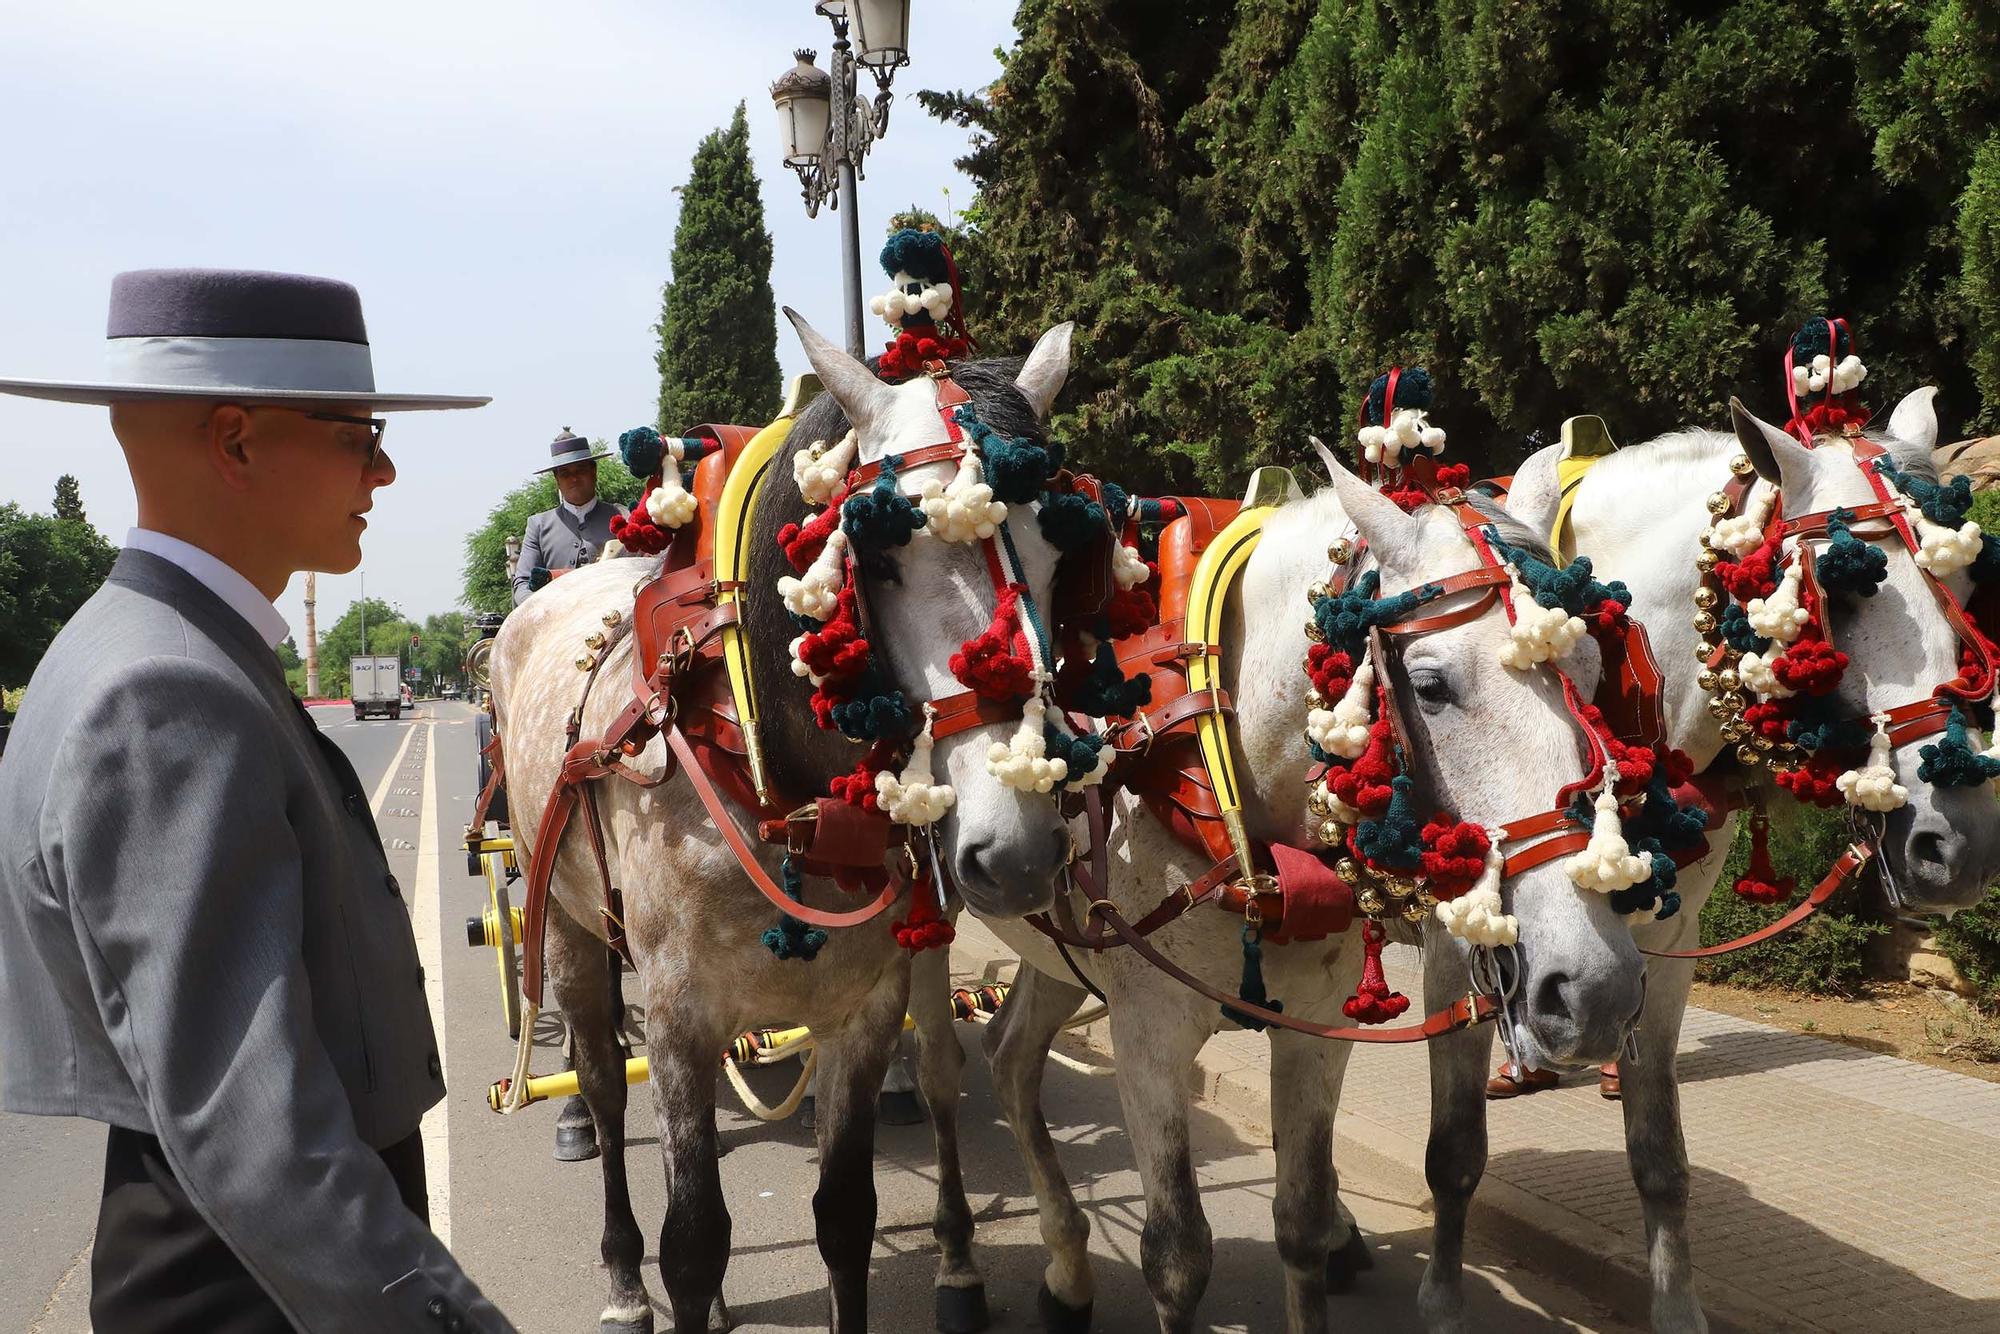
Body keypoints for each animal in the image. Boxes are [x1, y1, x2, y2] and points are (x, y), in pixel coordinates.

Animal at [492, 316, 1088, 1334]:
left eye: (1055, 553)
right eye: (877, 557)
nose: (1015, 852)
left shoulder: (864, 1010)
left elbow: (845, 1216)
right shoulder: (680, 1017)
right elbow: (693, 1242)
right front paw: (669, 1279)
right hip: (567, 921)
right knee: (604, 1087)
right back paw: (621, 1273)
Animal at [916, 454, 1648, 1328]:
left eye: (1593, 672)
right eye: (1432, 686)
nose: (1597, 989)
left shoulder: (1318, 1025)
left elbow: (1299, 1218)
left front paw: (1325, 1241)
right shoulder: (1147, 1030)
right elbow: (1177, 1257)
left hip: (1059, 946)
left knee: (1010, 1055)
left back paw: (1066, 1271)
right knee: (938, 1071)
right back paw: (958, 1263)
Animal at [1416, 380, 2000, 1328]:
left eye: (1961, 583)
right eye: (1840, 598)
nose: (1966, 845)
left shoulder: (1667, 947)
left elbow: (1661, 1154)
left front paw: (1675, 1305)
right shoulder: (1448, 944)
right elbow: (1455, 1148)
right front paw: (1437, 1295)